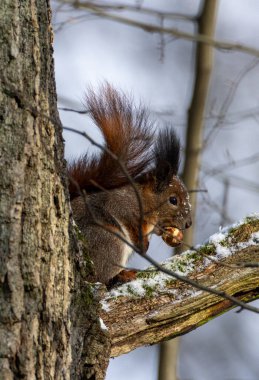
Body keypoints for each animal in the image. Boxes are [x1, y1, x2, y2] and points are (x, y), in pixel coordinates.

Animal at [68, 84, 192, 284]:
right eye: (173, 200)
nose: (188, 224)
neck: (145, 200)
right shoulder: (122, 203)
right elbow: (124, 218)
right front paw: (142, 244)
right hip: (108, 241)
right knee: (101, 277)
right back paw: (120, 275)